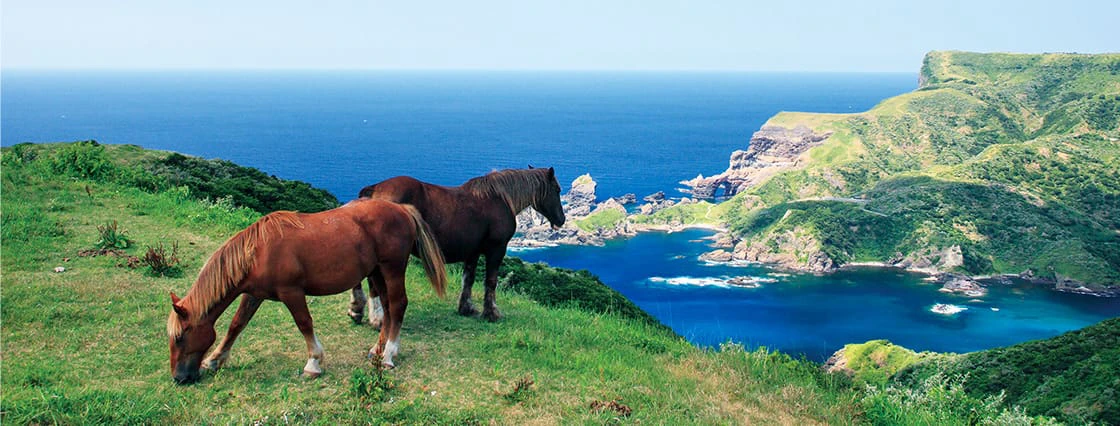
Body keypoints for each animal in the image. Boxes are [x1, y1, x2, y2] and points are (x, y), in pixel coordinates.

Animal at [166, 199, 446, 384]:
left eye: (179, 337)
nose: (179, 378)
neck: (259, 251)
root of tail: (402, 209)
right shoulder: (253, 294)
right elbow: (237, 325)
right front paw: (214, 360)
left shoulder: (291, 292)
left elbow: (304, 323)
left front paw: (313, 362)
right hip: (377, 271)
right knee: (387, 308)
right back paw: (378, 350)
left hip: (392, 269)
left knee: (398, 305)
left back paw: (388, 355)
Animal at [349, 167, 564, 324]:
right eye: (557, 190)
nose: (561, 220)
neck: (500, 199)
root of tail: (375, 190)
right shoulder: (497, 249)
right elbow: (491, 281)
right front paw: (491, 313)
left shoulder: (473, 252)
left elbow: (468, 279)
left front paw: (466, 308)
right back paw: (376, 318)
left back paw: (356, 309)